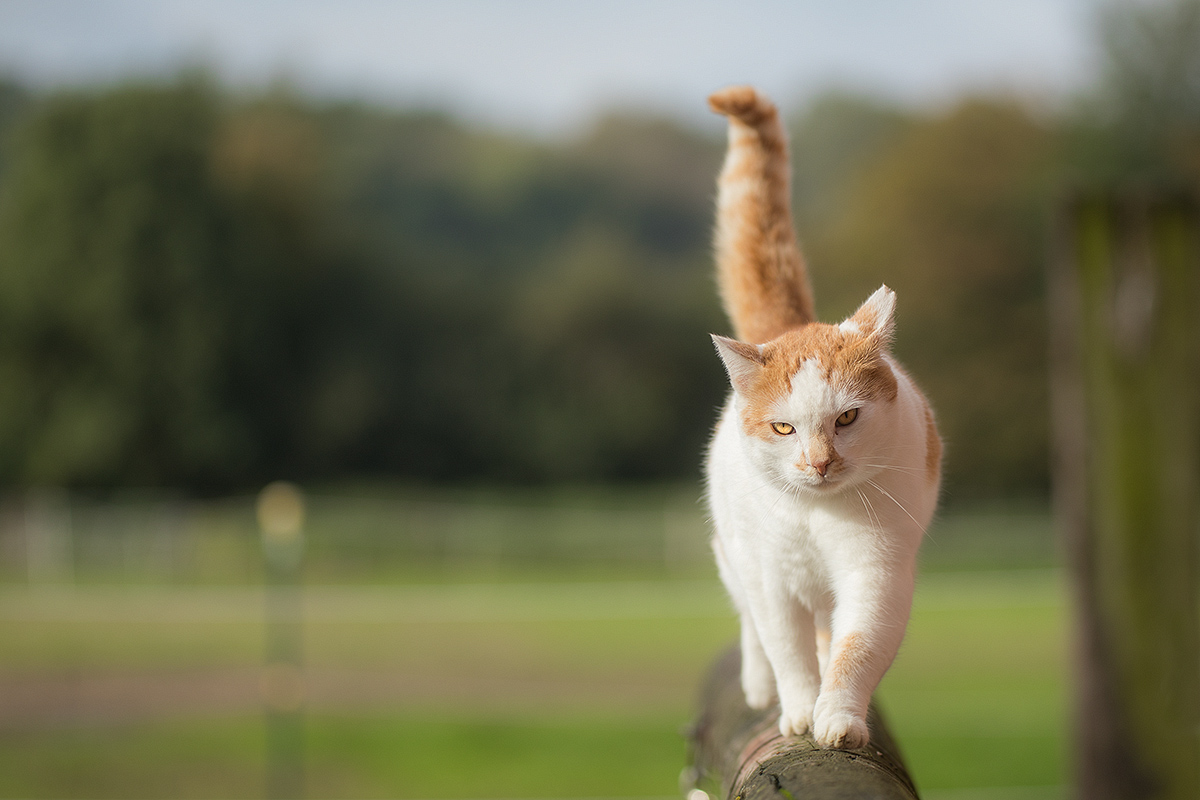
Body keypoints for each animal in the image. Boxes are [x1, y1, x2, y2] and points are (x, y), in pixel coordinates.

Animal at [700, 87, 945, 753]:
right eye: (783, 429)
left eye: (848, 418)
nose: (819, 463)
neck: (817, 514)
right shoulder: (772, 579)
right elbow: (786, 650)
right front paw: (798, 711)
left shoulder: (876, 573)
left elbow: (855, 648)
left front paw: (838, 717)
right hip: (733, 551)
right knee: (752, 626)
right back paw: (760, 687)